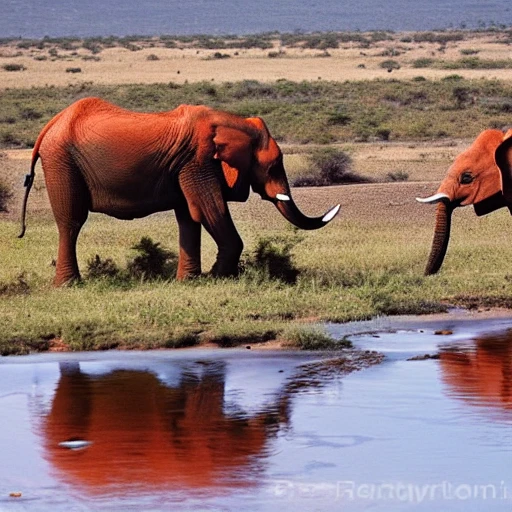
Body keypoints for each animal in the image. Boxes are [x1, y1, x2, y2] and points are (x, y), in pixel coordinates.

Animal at [19, 98, 340, 286]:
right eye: (273, 166)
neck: (230, 123)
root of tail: (50, 125)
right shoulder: (198, 161)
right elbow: (211, 210)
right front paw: (217, 278)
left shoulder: (187, 166)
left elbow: (189, 216)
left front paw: (189, 282)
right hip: (61, 161)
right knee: (71, 222)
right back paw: (69, 285)